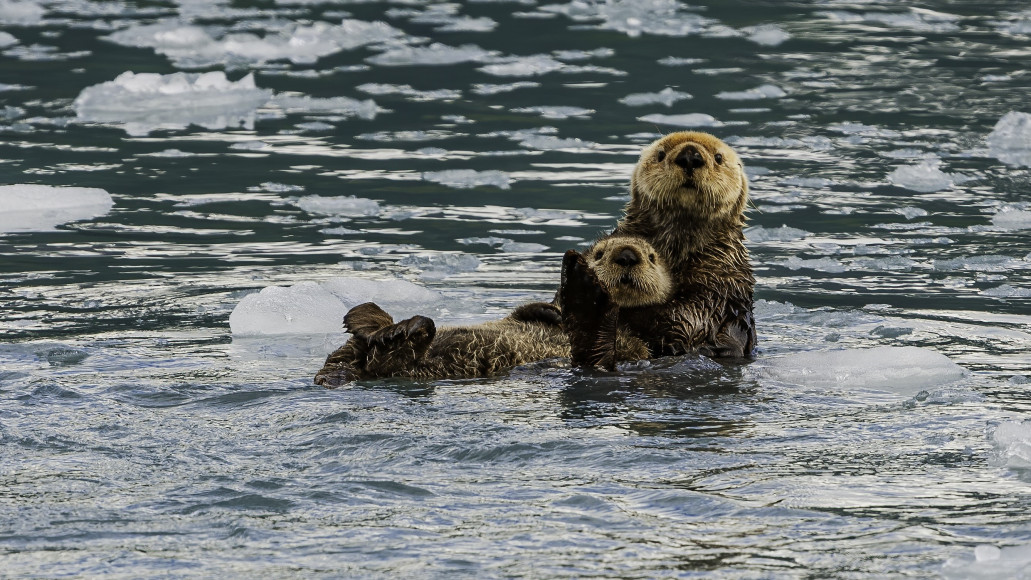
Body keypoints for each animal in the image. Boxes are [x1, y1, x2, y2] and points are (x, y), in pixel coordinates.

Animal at [314, 236, 672, 385]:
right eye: (600, 252)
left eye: (651, 257)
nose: (626, 255)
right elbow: (529, 311)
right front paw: (552, 310)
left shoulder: (637, 348)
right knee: (350, 350)